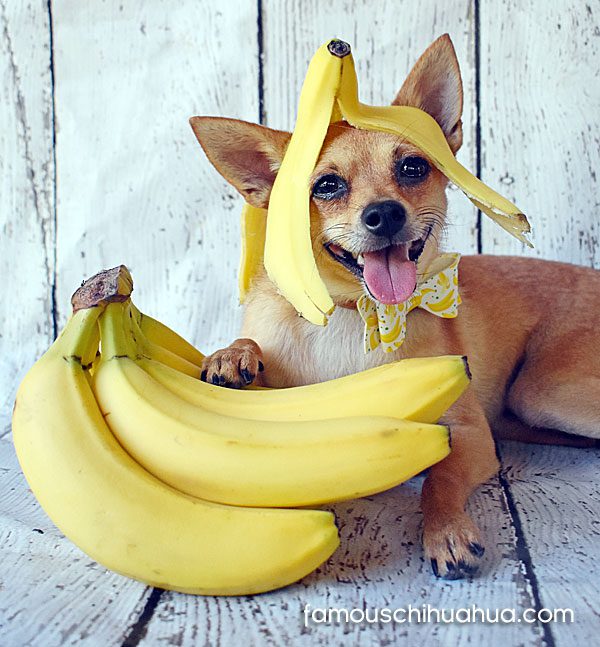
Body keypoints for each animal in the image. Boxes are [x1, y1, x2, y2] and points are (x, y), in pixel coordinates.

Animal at [190, 34, 600, 584]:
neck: (356, 313)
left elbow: (439, 479)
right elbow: (247, 343)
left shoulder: (468, 434)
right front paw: (232, 354)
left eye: (412, 167)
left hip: (545, 390)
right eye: (326, 186)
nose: (384, 213)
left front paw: (447, 532)